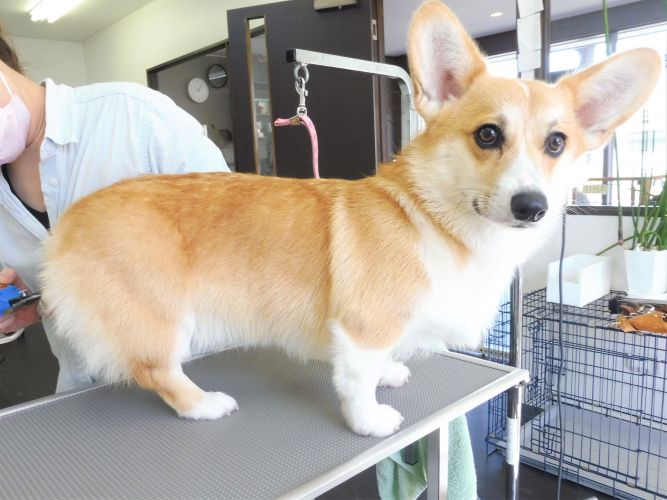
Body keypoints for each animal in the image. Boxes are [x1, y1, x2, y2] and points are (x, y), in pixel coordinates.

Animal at [40, 1, 660, 437]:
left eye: (557, 143)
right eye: (488, 135)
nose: (531, 207)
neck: (438, 223)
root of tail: (70, 221)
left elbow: (378, 363)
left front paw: (390, 374)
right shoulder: (364, 327)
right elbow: (358, 381)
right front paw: (370, 420)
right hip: (163, 319)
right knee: (157, 370)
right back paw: (204, 404)